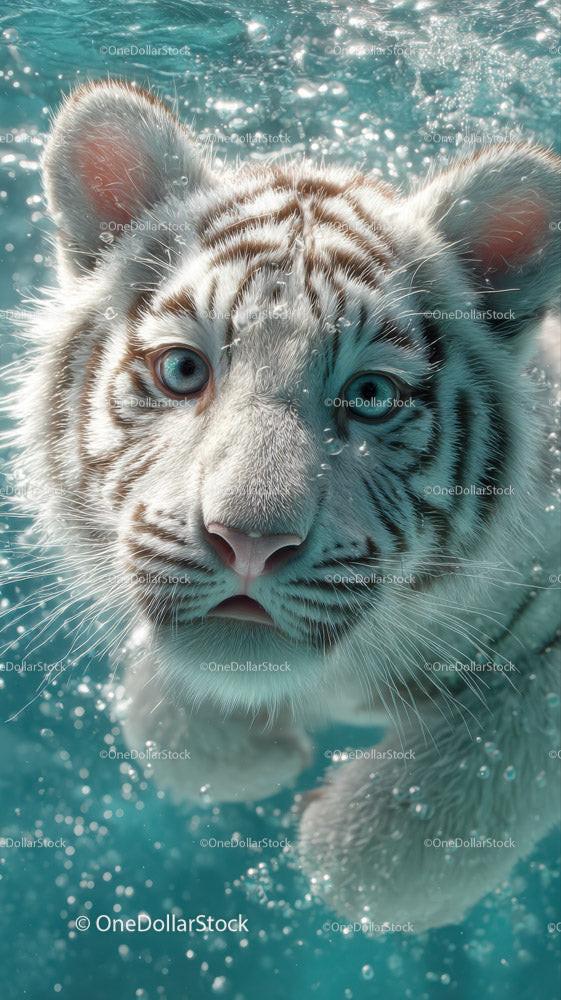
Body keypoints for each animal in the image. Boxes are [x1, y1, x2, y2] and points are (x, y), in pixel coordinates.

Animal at [8, 80, 561, 933]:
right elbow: (162, 723)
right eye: (181, 370)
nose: (247, 542)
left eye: (369, 396)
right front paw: (254, 752)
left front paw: (346, 829)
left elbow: (474, 776)